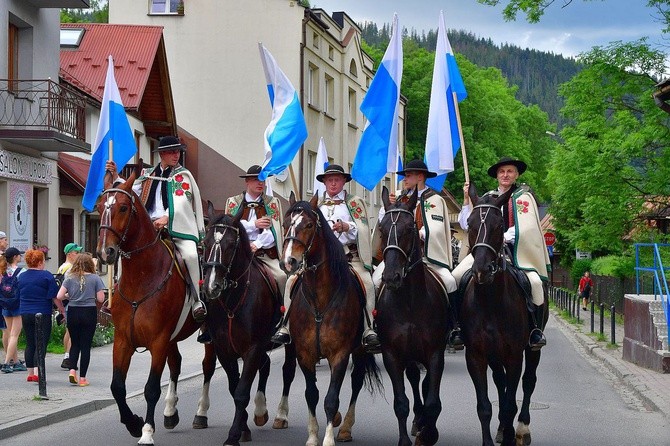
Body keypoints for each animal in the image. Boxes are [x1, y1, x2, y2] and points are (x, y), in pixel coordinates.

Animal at [97, 170, 201, 442]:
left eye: (123, 207)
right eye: (100, 206)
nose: (105, 252)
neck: (142, 278)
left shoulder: (158, 341)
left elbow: (151, 388)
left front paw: (146, 430)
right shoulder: (123, 339)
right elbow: (117, 387)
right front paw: (133, 422)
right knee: (176, 365)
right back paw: (170, 412)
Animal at [194, 205, 300, 446]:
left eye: (231, 245)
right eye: (205, 242)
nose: (212, 286)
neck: (233, 302)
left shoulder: (253, 348)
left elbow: (242, 391)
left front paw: (234, 435)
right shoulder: (225, 350)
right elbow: (234, 388)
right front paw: (243, 428)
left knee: (287, 371)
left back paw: (280, 415)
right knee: (266, 365)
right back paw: (260, 412)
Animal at [280, 193, 384, 446]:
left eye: (308, 225)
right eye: (286, 224)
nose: (289, 262)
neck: (320, 300)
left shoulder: (340, 354)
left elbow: (331, 398)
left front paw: (327, 438)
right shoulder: (304, 354)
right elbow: (312, 394)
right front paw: (312, 436)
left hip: (360, 350)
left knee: (356, 381)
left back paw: (345, 427)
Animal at [378, 186, 456, 446]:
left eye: (409, 229)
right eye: (382, 229)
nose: (391, 277)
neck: (409, 305)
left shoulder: (435, 353)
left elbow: (433, 400)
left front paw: (429, 434)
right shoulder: (392, 355)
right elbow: (401, 402)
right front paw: (407, 437)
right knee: (414, 379)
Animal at [462, 183, 552, 444]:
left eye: (499, 224)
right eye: (470, 222)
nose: (481, 270)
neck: (490, 302)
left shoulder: (514, 355)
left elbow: (513, 401)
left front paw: (513, 432)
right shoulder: (476, 355)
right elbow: (485, 406)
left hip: (532, 349)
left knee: (529, 382)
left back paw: (521, 428)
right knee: (500, 383)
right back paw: (503, 427)